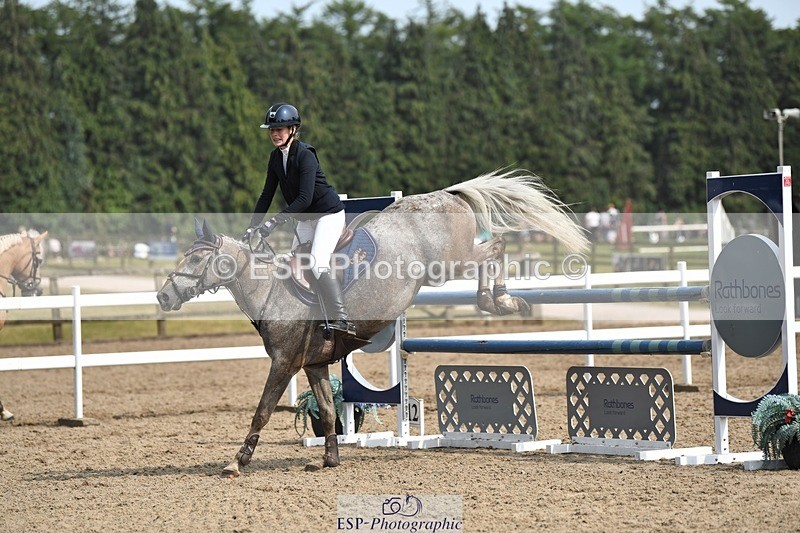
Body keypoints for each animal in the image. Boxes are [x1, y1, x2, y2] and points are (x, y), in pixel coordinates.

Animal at [156, 170, 588, 476]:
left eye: (197, 259)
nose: (163, 297)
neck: (269, 290)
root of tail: (447, 192)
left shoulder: (283, 363)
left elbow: (261, 410)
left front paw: (237, 461)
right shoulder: (313, 364)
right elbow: (329, 411)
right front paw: (328, 459)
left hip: (450, 262)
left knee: (496, 245)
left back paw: (500, 299)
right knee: (494, 247)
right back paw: (500, 299)